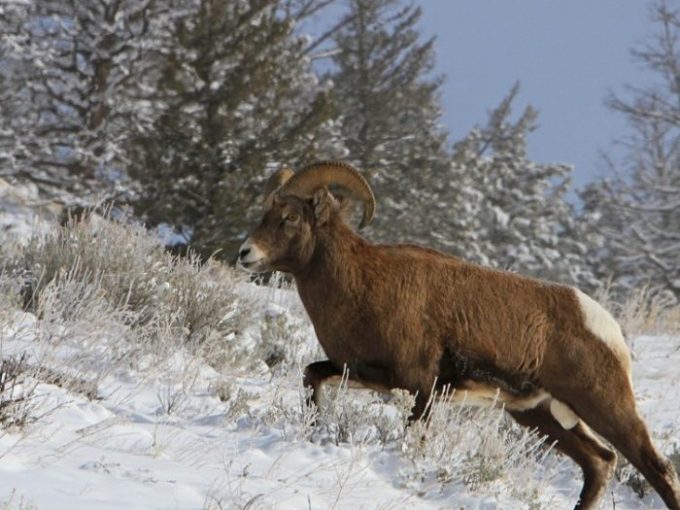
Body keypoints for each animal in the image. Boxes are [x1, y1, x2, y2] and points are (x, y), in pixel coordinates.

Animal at [237, 160, 680, 510]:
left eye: (290, 217)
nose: (245, 254)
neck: (360, 284)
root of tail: (609, 329)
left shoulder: (419, 387)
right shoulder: (361, 373)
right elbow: (311, 376)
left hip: (605, 406)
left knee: (656, 467)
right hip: (539, 415)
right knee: (599, 463)